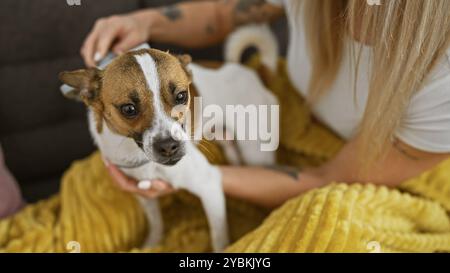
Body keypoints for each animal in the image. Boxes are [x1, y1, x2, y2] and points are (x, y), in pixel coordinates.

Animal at [59, 23, 278, 251]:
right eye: (128, 109)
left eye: (181, 96)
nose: (169, 146)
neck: (139, 157)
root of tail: (253, 73)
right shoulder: (144, 194)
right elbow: (156, 222)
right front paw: (152, 243)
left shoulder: (210, 185)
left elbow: (219, 236)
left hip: (255, 150)